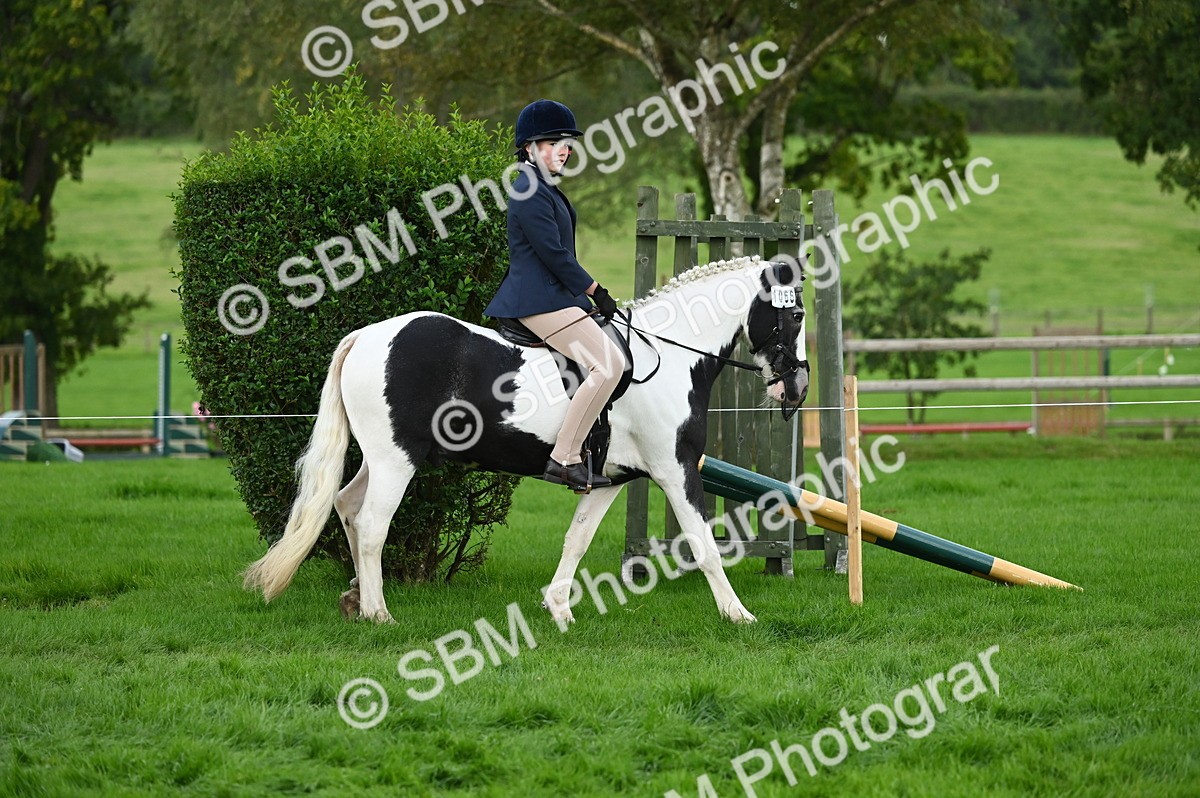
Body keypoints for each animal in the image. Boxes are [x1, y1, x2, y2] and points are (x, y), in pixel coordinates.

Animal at [242, 255, 810, 625]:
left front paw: (558, 609)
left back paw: (356, 600)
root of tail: (367, 336)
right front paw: (738, 615)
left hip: (380, 459)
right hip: (394, 461)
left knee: (345, 505)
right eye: (797, 314)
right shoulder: (676, 471)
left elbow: (577, 540)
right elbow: (704, 544)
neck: (668, 357)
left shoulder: (609, 480)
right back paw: (379, 613)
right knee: (371, 525)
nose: (797, 388)